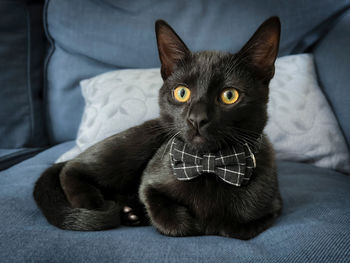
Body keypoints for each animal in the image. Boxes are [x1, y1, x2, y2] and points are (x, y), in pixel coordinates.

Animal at [33, 16, 282, 239]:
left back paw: (131, 213)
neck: (209, 165)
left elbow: (237, 227)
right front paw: (196, 223)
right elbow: (169, 217)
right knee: (72, 168)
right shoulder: (151, 182)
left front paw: (213, 223)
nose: (197, 118)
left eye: (230, 95)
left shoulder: (273, 205)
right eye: (181, 92)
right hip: (136, 143)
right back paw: (94, 202)